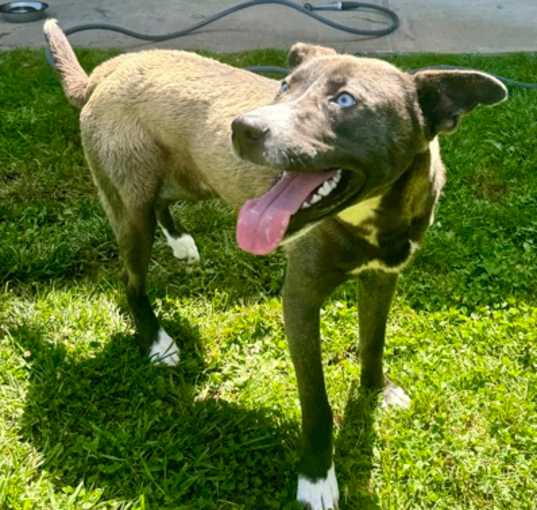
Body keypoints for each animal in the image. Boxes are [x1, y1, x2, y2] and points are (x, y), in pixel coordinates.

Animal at [44, 21, 504, 510]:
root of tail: (105, 72)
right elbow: (315, 398)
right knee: (130, 278)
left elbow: (374, 340)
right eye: (285, 86)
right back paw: (155, 340)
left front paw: (377, 391)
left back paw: (181, 243)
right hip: (130, 206)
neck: (373, 219)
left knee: (164, 203)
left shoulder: (383, 278)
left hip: (192, 176)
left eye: (345, 100)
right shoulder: (300, 300)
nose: (243, 127)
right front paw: (316, 476)